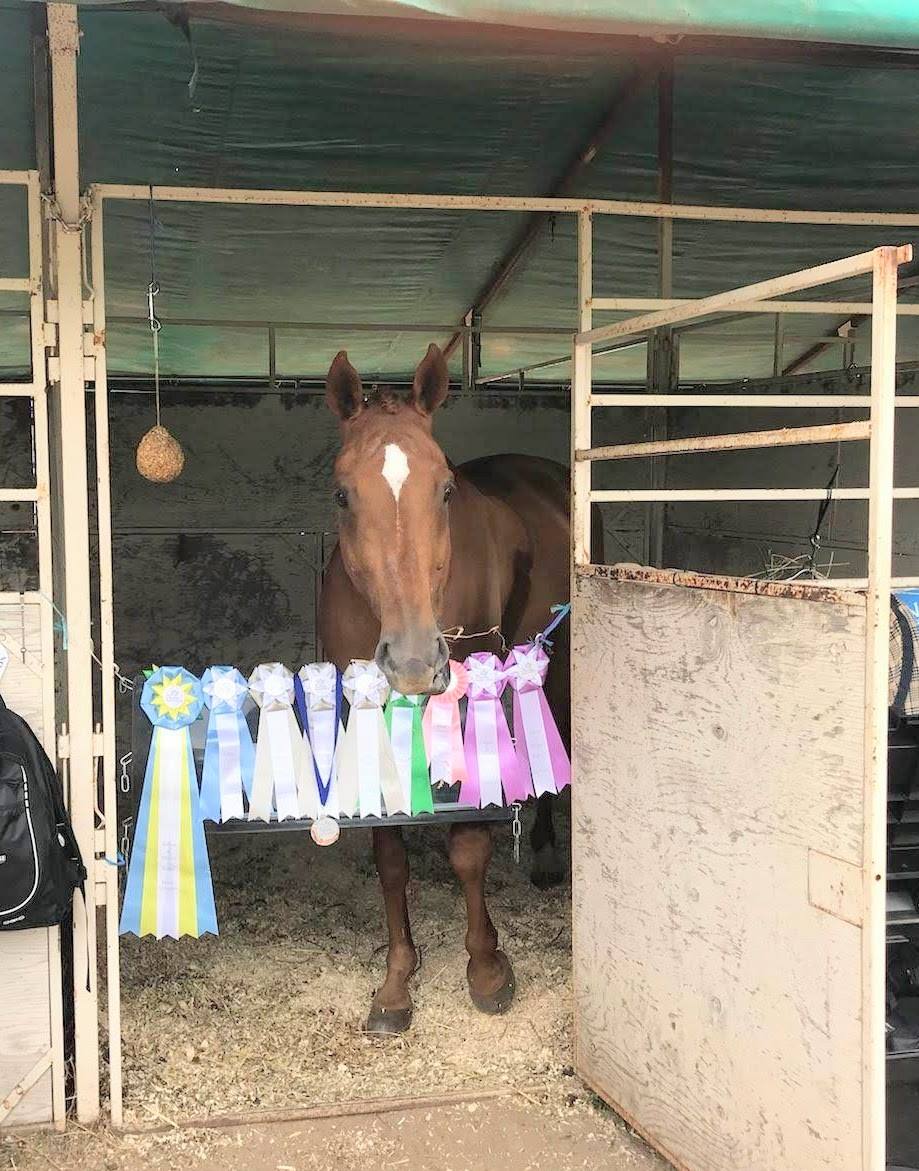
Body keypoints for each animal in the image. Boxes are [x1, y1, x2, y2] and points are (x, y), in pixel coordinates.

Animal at [318, 342, 578, 1036]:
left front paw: (486, 968)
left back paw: (547, 855)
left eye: (444, 488)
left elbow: (468, 843)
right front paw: (397, 981)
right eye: (342, 493)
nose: (413, 661)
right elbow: (389, 854)